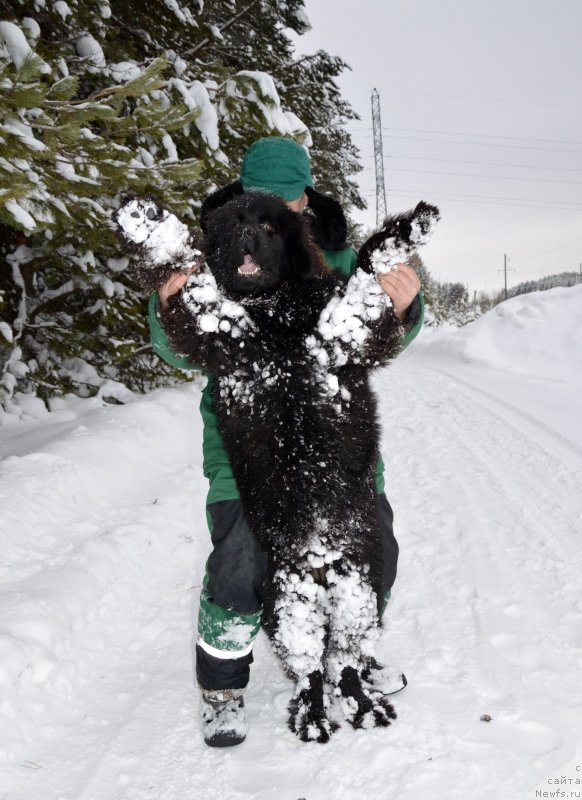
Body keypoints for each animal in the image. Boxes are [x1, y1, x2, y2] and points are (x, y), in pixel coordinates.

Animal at [117, 192, 438, 744]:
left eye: (268, 227)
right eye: (230, 226)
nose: (247, 236)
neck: (276, 318)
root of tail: (321, 562)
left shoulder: (337, 333)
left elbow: (368, 270)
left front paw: (412, 228)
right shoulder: (226, 334)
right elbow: (194, 272)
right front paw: (145, 220)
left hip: (358, 593)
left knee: (346, 661)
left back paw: (365, 706)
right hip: (292, 606)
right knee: (314, 670)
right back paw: (314, 718)